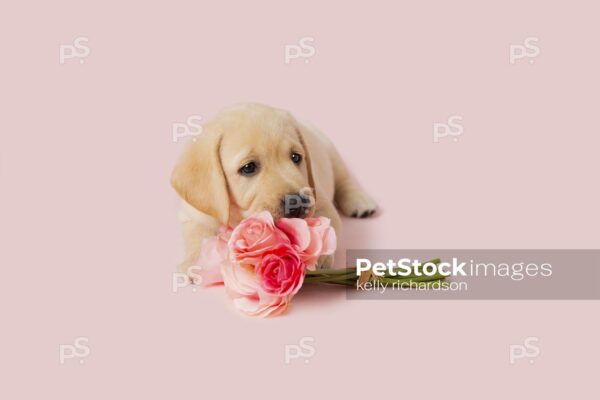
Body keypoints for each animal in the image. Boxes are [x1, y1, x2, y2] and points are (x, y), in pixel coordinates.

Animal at [171, 101, 376, 274]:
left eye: (296, 157)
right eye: (248, 167)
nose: (297, 202)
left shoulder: (320, 200)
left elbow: (326, 231)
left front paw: (315, 257)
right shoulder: (194, 213)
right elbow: (197, 235)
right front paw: (195, 262)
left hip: (332, 153)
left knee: (344, 179)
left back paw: (360, 201)